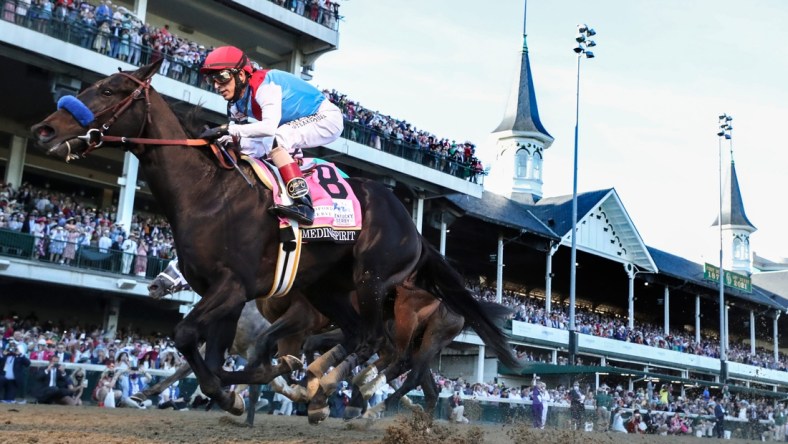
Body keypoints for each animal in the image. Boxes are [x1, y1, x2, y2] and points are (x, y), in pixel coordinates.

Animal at [30, 60, 520, 422]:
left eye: (111, 91)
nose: (45, 130)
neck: (206, 192)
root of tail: (416, 230)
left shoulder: (236, 287)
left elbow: (191, 336)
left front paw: (250, 385)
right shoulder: (227, 295)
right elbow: (212, 356)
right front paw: (236, 392)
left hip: (377, 285)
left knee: (381, 348)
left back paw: (342, 393)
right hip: (328, 289)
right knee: (382, 353)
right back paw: (331, 388)